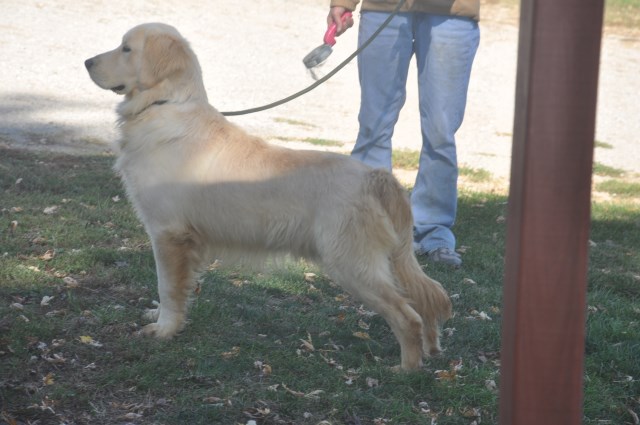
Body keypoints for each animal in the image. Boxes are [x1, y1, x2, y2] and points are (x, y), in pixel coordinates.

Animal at [85, 23, 450, 370]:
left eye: (126, 48)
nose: (87, 62)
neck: (164, 105)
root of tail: (375, 176)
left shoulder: (168, 234)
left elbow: (168, 286)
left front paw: (163, 329)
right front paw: (160, 317)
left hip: (351, 263)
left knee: (407, 315)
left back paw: (406, 368)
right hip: (387, 260)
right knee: (425, 298)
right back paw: (431, 350)